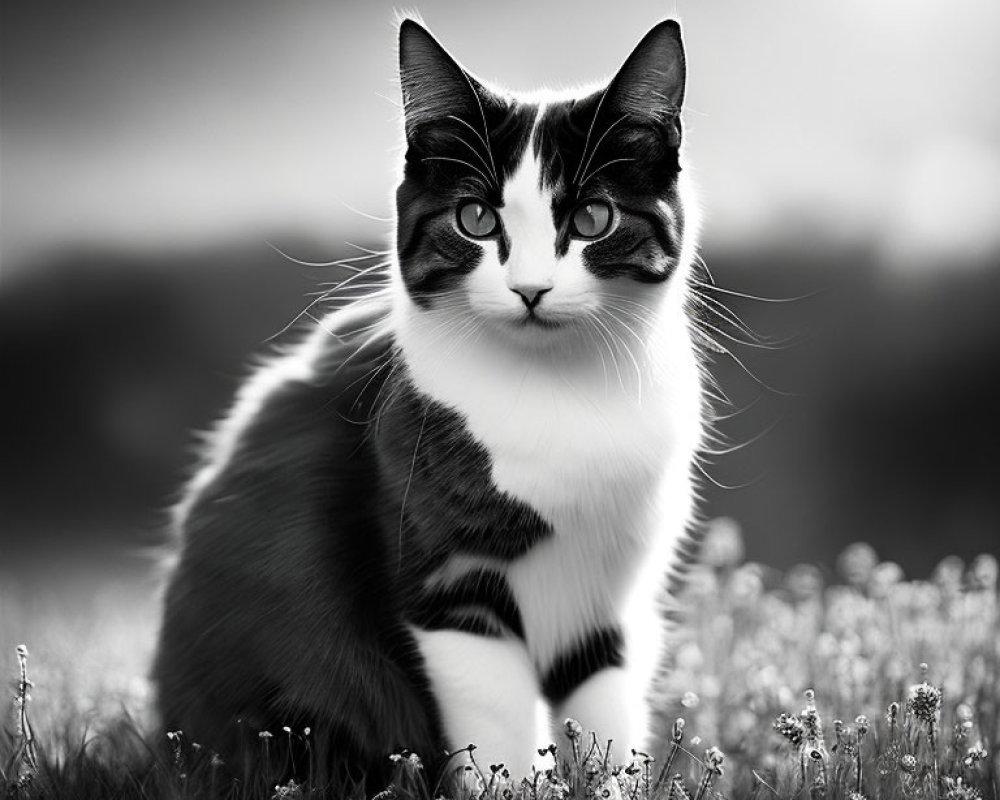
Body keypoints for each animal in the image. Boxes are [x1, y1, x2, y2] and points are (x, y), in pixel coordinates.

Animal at [154, 15, 704, 792]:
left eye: (594, 218)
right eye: (474, 218)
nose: (530, 289)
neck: (561, 395)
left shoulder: (614, 608)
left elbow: (608, 729)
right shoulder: (448, 584)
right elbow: (503, 739)